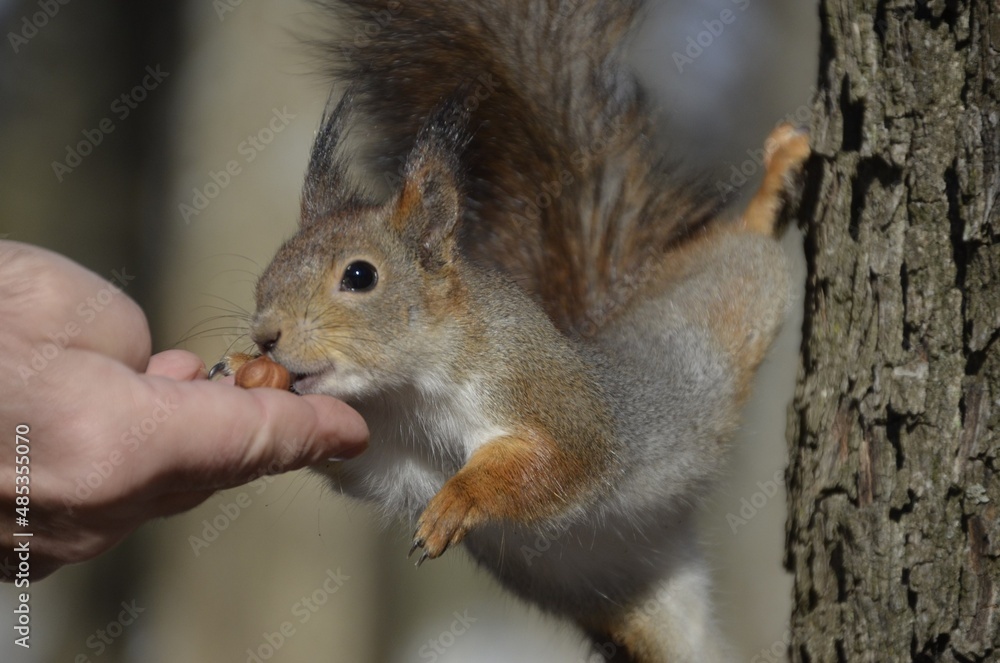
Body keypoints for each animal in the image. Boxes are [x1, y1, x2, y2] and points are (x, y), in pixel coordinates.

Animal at [212, 1, 810, 660]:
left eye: (360, 275)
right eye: (276, 260)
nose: (266, 335)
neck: (407, 391)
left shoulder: (548, 396)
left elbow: (556, 462)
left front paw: (460, 500)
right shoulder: (391, 455)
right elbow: (364, 466)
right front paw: (241, 368)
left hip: (729, 297)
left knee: (746, 249)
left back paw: (774, 181)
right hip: (645, 608)